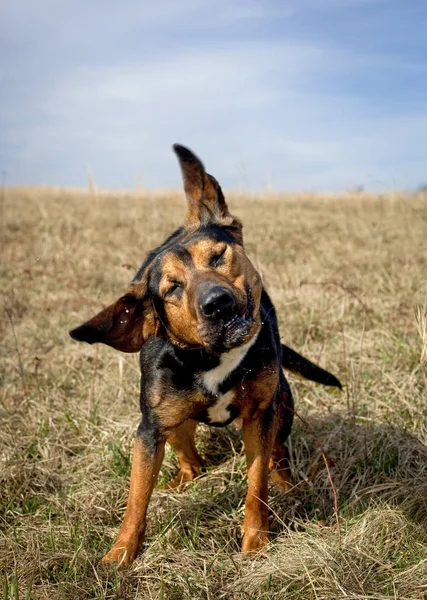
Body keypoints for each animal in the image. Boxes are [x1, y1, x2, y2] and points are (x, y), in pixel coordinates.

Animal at [71, 144, 344, 568]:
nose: (217, 304)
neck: (212, 359)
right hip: (174, 423)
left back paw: (284, 481)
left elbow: (256, 484)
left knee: (278, 452)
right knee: (192, 459)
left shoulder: (260, 415)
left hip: (282, 402)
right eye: (171, 288)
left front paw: (256, 542)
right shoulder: (149, 430)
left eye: (218, 256)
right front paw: (121, 554)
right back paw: (184, 479)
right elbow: (136, 500)